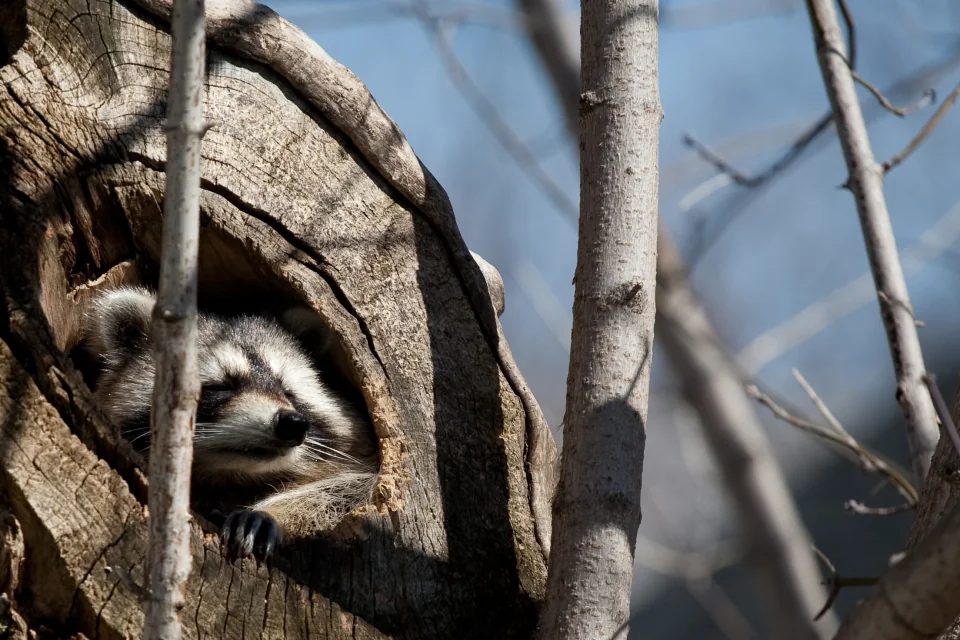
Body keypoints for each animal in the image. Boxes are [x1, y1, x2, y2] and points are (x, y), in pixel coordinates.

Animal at [83, 286, 378, 561]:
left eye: (287, 392)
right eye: (222, 387)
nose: (291, 423)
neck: (232, 475)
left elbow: (353, 491)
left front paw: (270, 513)